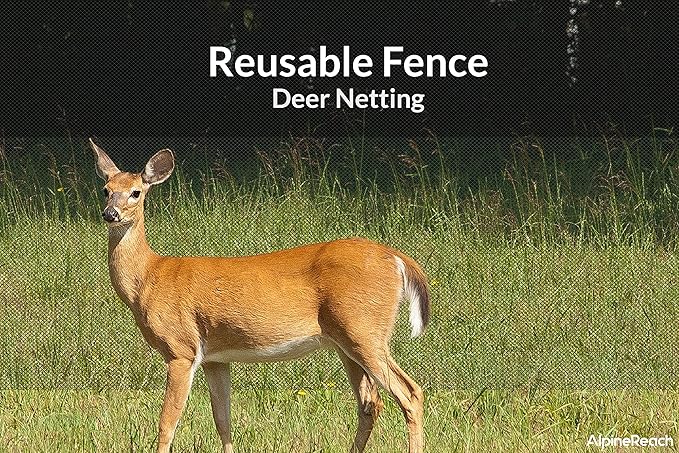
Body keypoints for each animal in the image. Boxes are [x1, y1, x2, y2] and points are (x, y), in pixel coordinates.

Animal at [90, 138, 431, 453]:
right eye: (106, 189)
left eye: (136, 192)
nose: (110, 213)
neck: (149, 278)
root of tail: (398, 258)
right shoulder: (215, 357)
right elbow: (222, 420)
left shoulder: (181, 348)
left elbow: (167, 423)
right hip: (346, 340)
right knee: (370, 403)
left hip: (364, 329)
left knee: (410, 393)